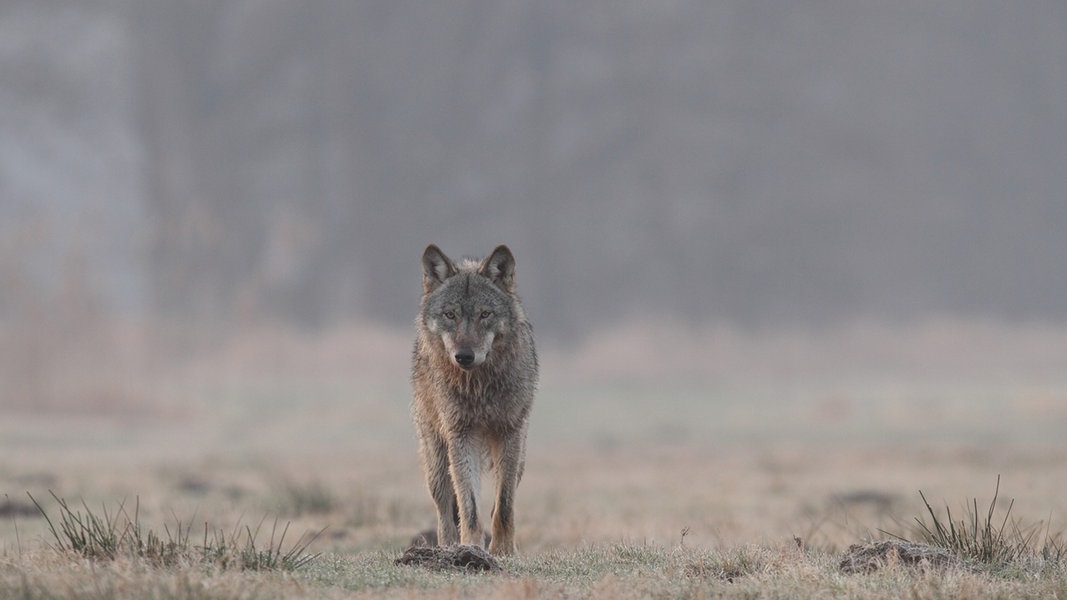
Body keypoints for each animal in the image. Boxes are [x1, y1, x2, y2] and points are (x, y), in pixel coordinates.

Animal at [409, 244, 537, 555]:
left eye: (485, 314)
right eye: (450, 315)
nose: (464, 356)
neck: (480, 387)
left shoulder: (510, 433)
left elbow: (503, 506)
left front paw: (503, 551)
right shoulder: (461, 435)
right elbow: (469, 507)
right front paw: (470, 548)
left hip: (520, 458)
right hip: (437, 462)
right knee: (445, 512)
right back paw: (447, 549)